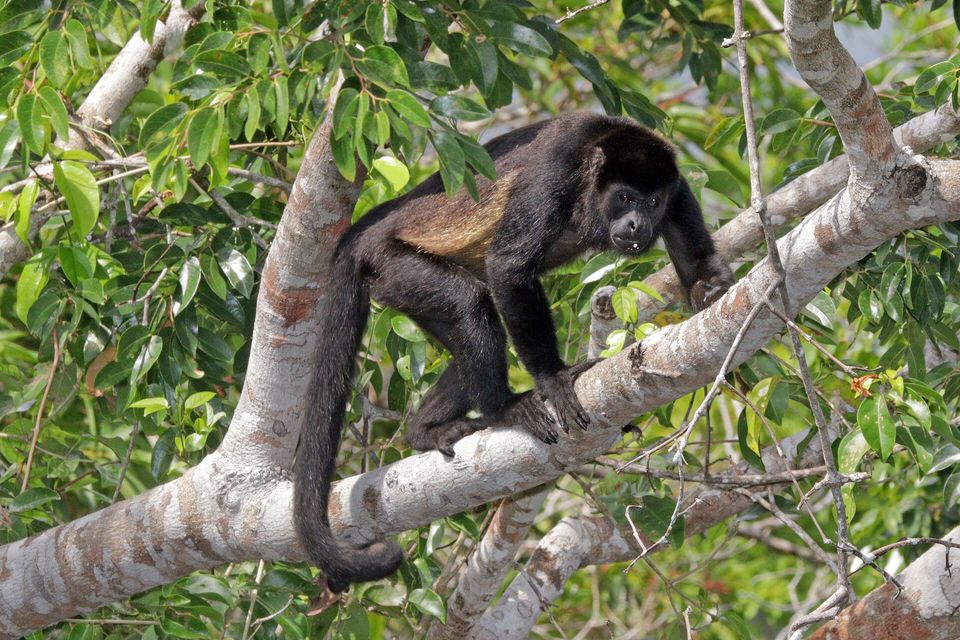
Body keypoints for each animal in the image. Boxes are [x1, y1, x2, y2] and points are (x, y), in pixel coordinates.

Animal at [294, 112, 734, 593]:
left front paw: (721, 298)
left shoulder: (679, 190)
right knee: (471, 302)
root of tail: (366, 231)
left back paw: (425, 429)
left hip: (399, 288)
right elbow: (509, 265)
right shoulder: (556, 168)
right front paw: (555, 379)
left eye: (652, 202)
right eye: (625, 198)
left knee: (474, 325)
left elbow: (697, 269)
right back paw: (503, 409)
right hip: (393, 265)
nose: (638, 223)